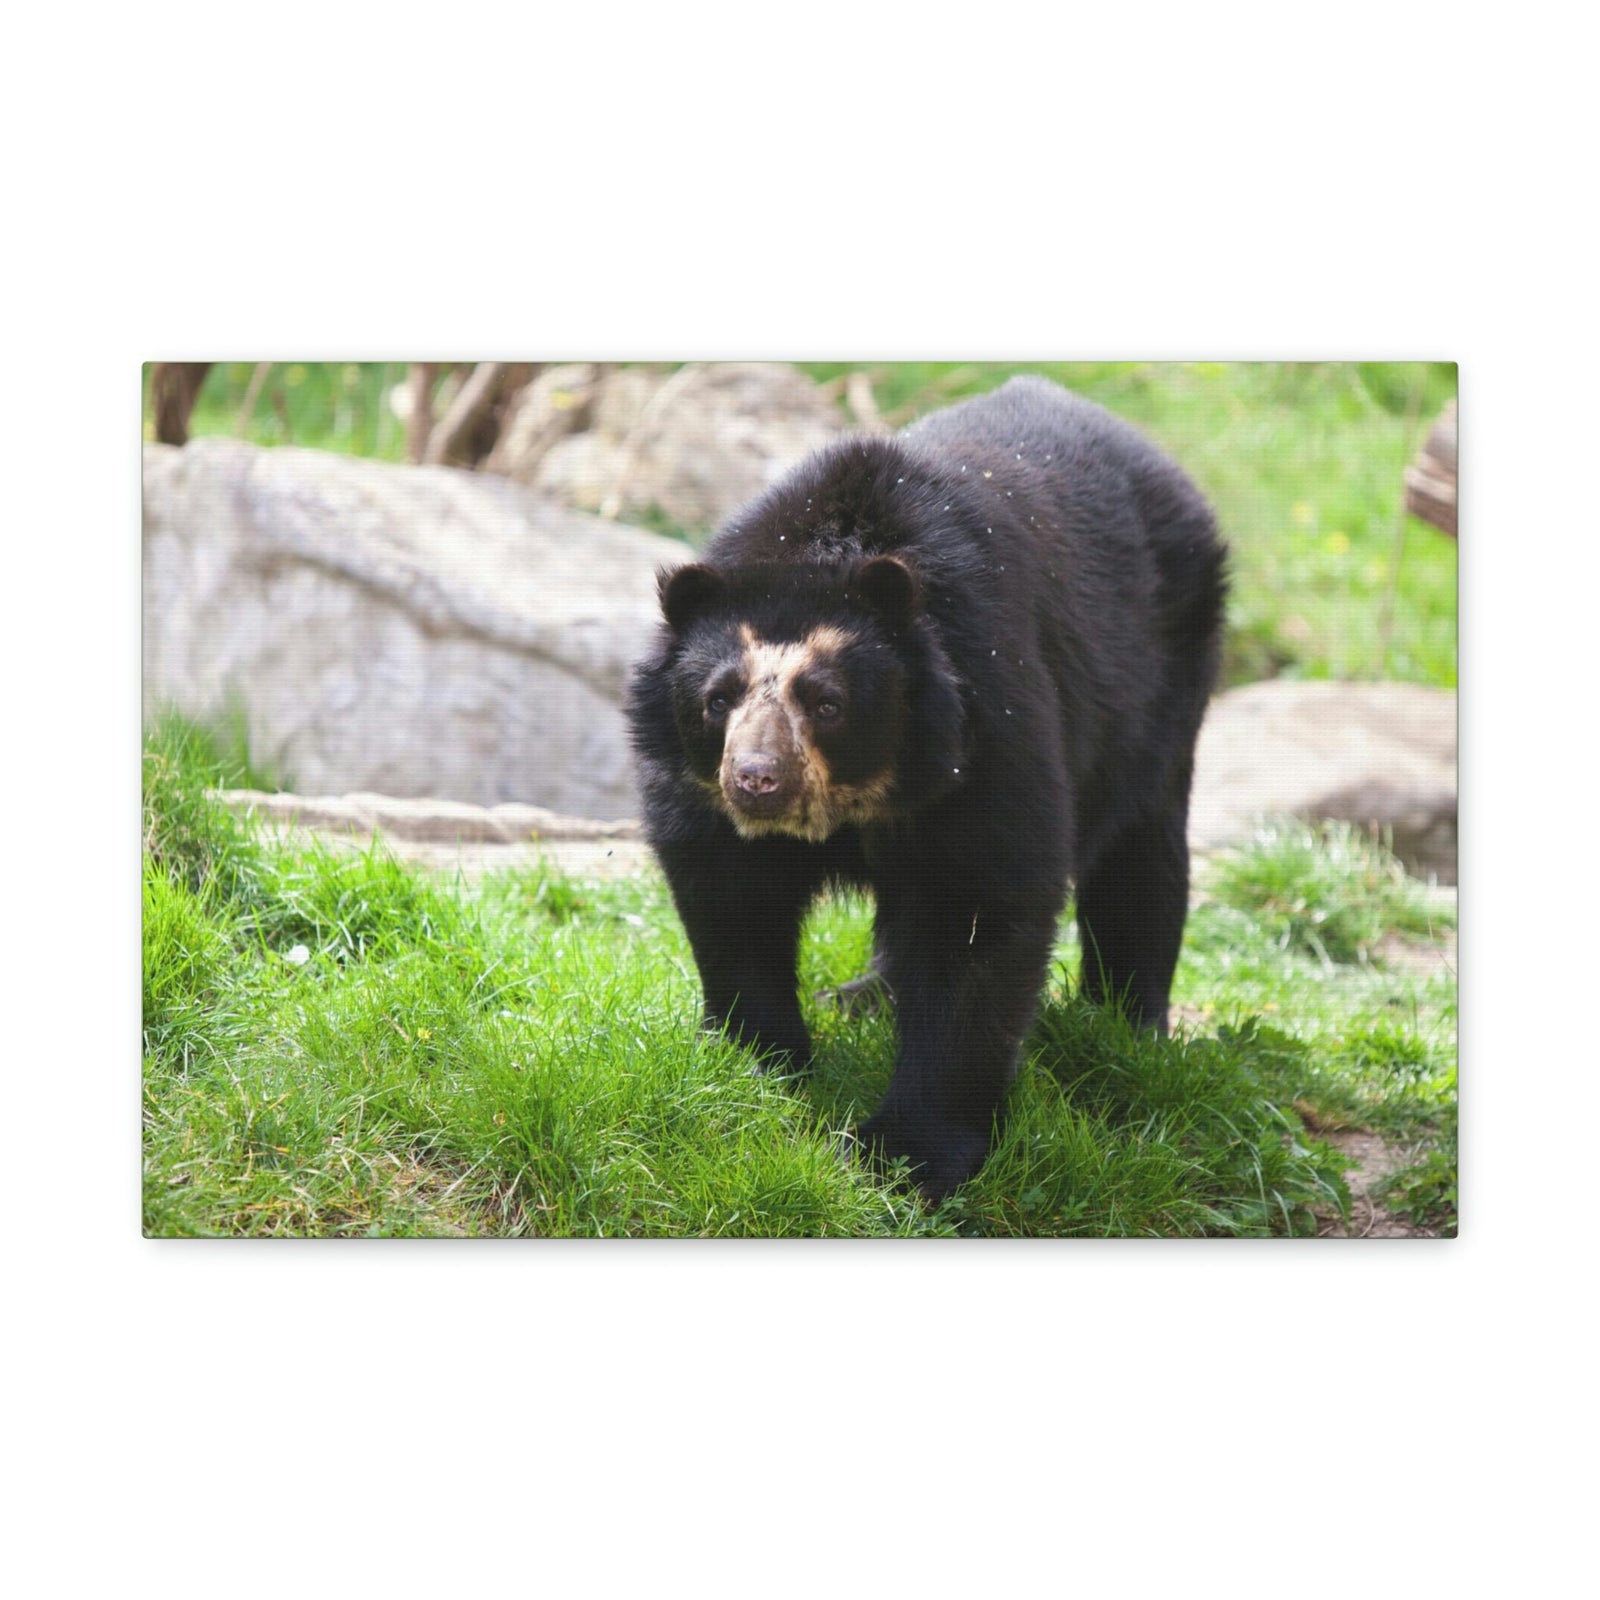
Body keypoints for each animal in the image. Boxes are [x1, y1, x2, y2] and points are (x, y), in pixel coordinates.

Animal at [625, 374, 1227, 1199]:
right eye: (719, 698)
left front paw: (904, 1155)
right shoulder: (701, 797)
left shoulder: (986, 726)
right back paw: (863, 997)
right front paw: (755, 1063)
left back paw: (1127, 1027)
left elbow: (979, 909)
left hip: (1163, 680)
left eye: (827, 702)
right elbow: (732, 899)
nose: (756, 780)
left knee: (1140, 856)